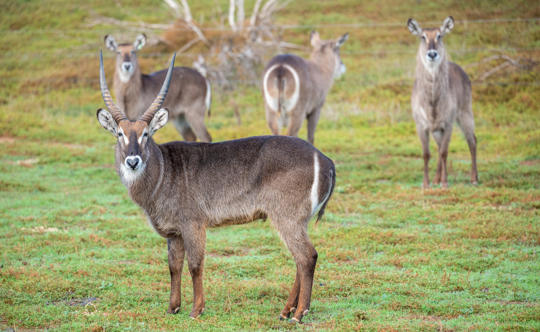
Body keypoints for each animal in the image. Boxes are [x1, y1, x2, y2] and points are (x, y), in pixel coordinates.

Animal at [95, 50, 336, 322]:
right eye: (120, 134)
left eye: (146, 133)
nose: (133, 161)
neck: (163, 170)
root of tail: (324, 159)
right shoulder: (174, 232)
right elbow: (173, 266)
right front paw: (172, 308)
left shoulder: (194, 224)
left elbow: (195, 265)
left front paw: (196, 309)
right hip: (295, 220)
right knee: (299, 259)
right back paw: (286, 311)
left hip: (287, 216)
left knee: (307, 256)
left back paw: (299, 313)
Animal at [408, 16, 478, 188]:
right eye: (423, 36)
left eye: (440, 36)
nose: (432, 53)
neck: (432, 105)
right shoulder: (422, 125)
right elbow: (427, 154)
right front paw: (426, 184)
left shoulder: (448, 123)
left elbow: (445, 152)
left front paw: (445, 183)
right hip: (436, 129)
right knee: (439, 147)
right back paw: (436, 179)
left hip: (465, 112)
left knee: (472, 140)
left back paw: (474, 178)